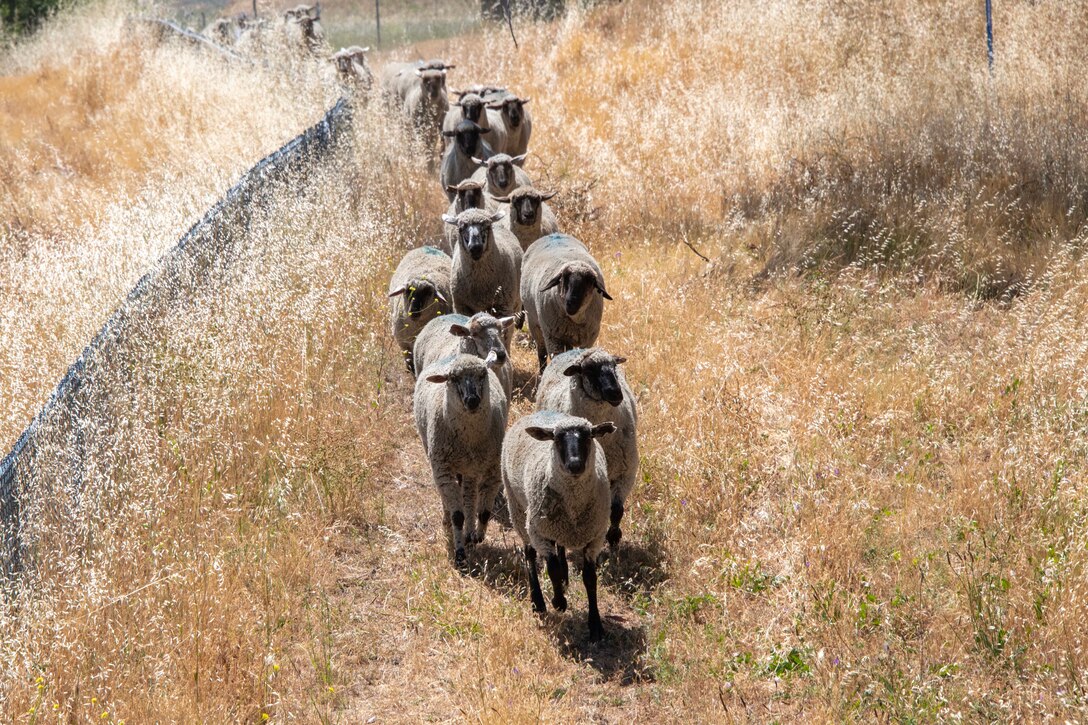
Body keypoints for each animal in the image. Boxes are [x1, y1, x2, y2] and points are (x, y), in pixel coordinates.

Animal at [413, 352, 507, 566]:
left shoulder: (493, 468)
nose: (472, 400)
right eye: (453, 378)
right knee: (450, 499)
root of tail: (457, 354)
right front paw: (460, 555)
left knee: (470, 495)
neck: (469, 439)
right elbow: (458, 516)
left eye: (482, 374)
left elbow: (484, 512)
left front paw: (477, 537)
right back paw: (448, 519)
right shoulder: (443, 469)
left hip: (470, 467)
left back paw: (470, 532)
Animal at [498, 409, 613, 640]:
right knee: (530, 555)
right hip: (520, 513)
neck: (574, 508)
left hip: (555, 526)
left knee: (559, 546)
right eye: (557, 439)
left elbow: (590, 578)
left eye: (589, 436)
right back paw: (538, 602)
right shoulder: (540, 532)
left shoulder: (595, 536)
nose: (575, 464)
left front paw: (595, 625)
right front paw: (559, 602)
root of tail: (539, 412)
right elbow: (552, 570)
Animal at [517, 232, 613, 370]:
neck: (575, 321)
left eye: (590, 282)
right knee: (541, 353)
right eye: (563, 279)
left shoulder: (589, 339)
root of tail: (555, 234)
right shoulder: (554, 339)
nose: (571, 303)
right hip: (535, 325)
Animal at [535, 348, 635, 548]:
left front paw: (613, 537)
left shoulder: (625, 472)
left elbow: (616, 510)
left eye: (614, 366)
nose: (616, 394)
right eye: (588, 370)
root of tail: (575, 349)